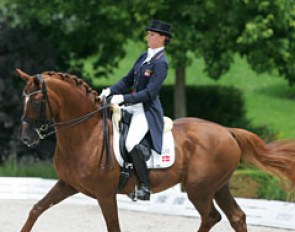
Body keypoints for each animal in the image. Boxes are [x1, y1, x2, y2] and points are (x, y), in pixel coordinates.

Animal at [17, 69, 295, 232]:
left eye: (37, 100)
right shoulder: (67, 184)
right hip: (217, 186)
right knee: (235, 217)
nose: (26, 138)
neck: (87, 133)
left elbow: (113, 226)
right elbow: (35, 209)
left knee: (211, 217)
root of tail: (227, 131)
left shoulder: (105, 194)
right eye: (23, 98)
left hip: (199, 188)